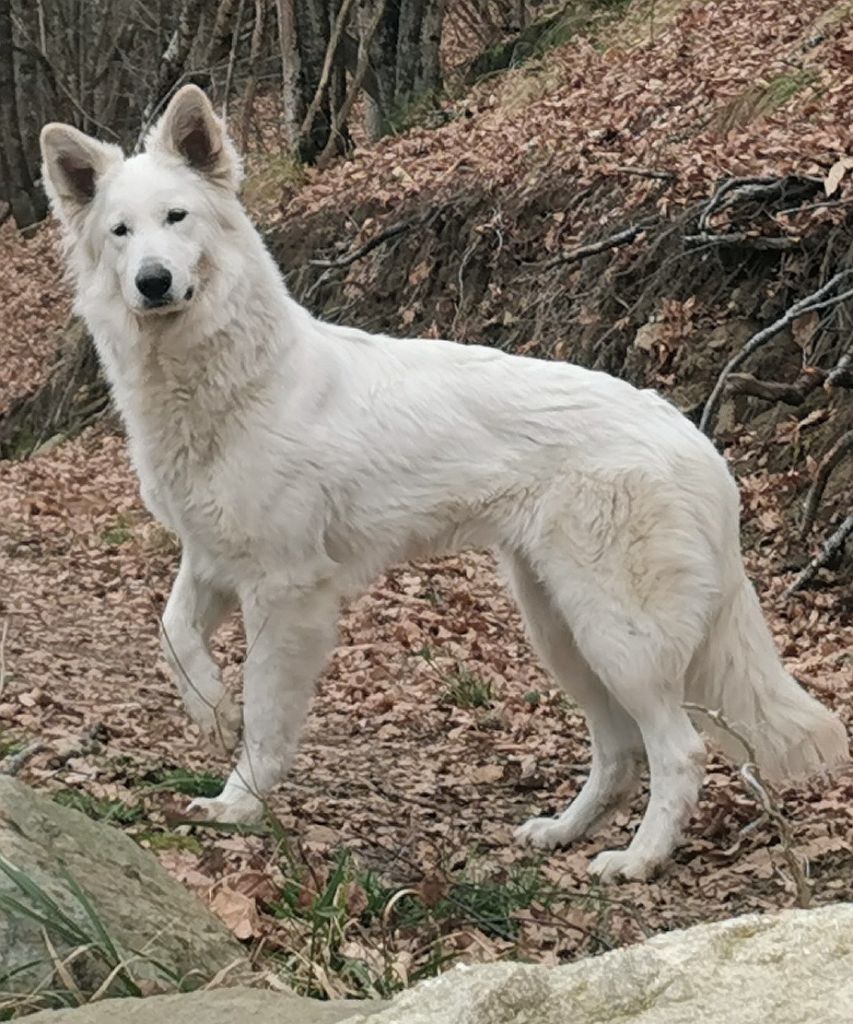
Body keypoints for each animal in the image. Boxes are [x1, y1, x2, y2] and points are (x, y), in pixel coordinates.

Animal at [39, 86, 843, 880]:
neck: (233, 379)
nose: (152, 283)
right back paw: (564, 831)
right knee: (620, 754)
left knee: (679, 753)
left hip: (618, 638)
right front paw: (211, 715)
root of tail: (695, 437)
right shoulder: (210, 561)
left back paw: (637, 860)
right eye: (119, 232)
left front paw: (240, 802)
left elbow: (266, 713)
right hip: (558, 627)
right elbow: (171, 635)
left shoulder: (285, 589)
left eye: (178, 218)